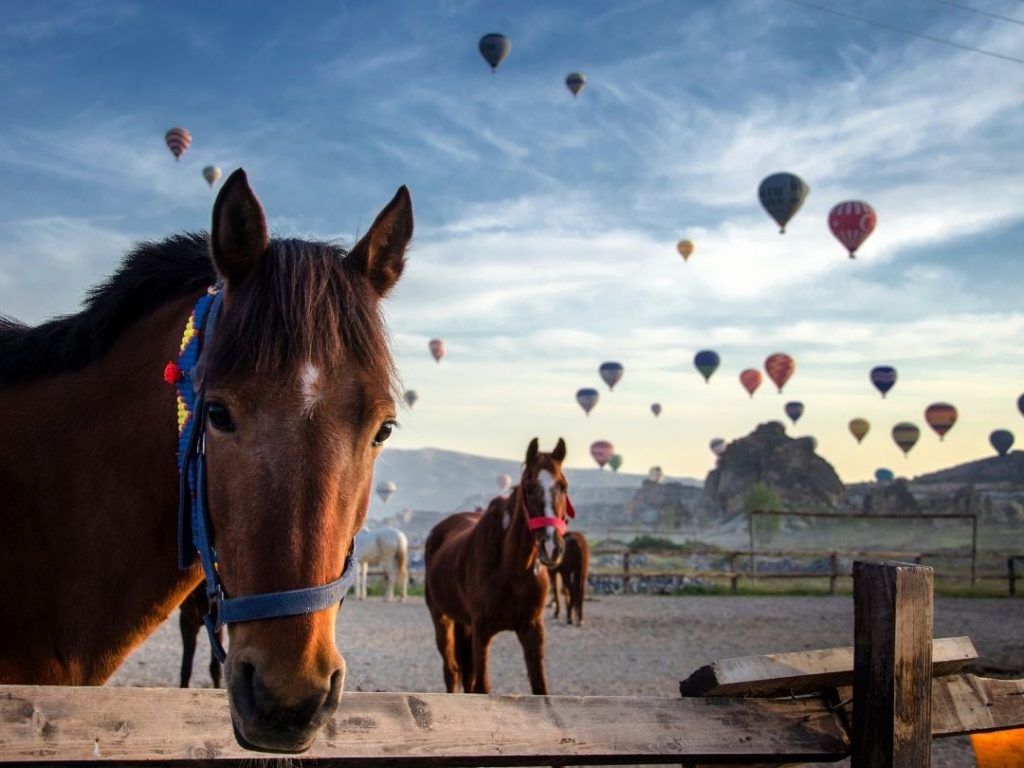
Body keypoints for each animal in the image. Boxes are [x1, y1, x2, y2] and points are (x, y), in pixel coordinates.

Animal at [424, 438, 572, 694]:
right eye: (529, 488)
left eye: (563, 486)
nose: (551, 547)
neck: (513, 569)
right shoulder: (482, 630)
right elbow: (482, 686)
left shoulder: (532, 629)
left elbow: (539, 687)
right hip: (441, 617)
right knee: (451, 670)